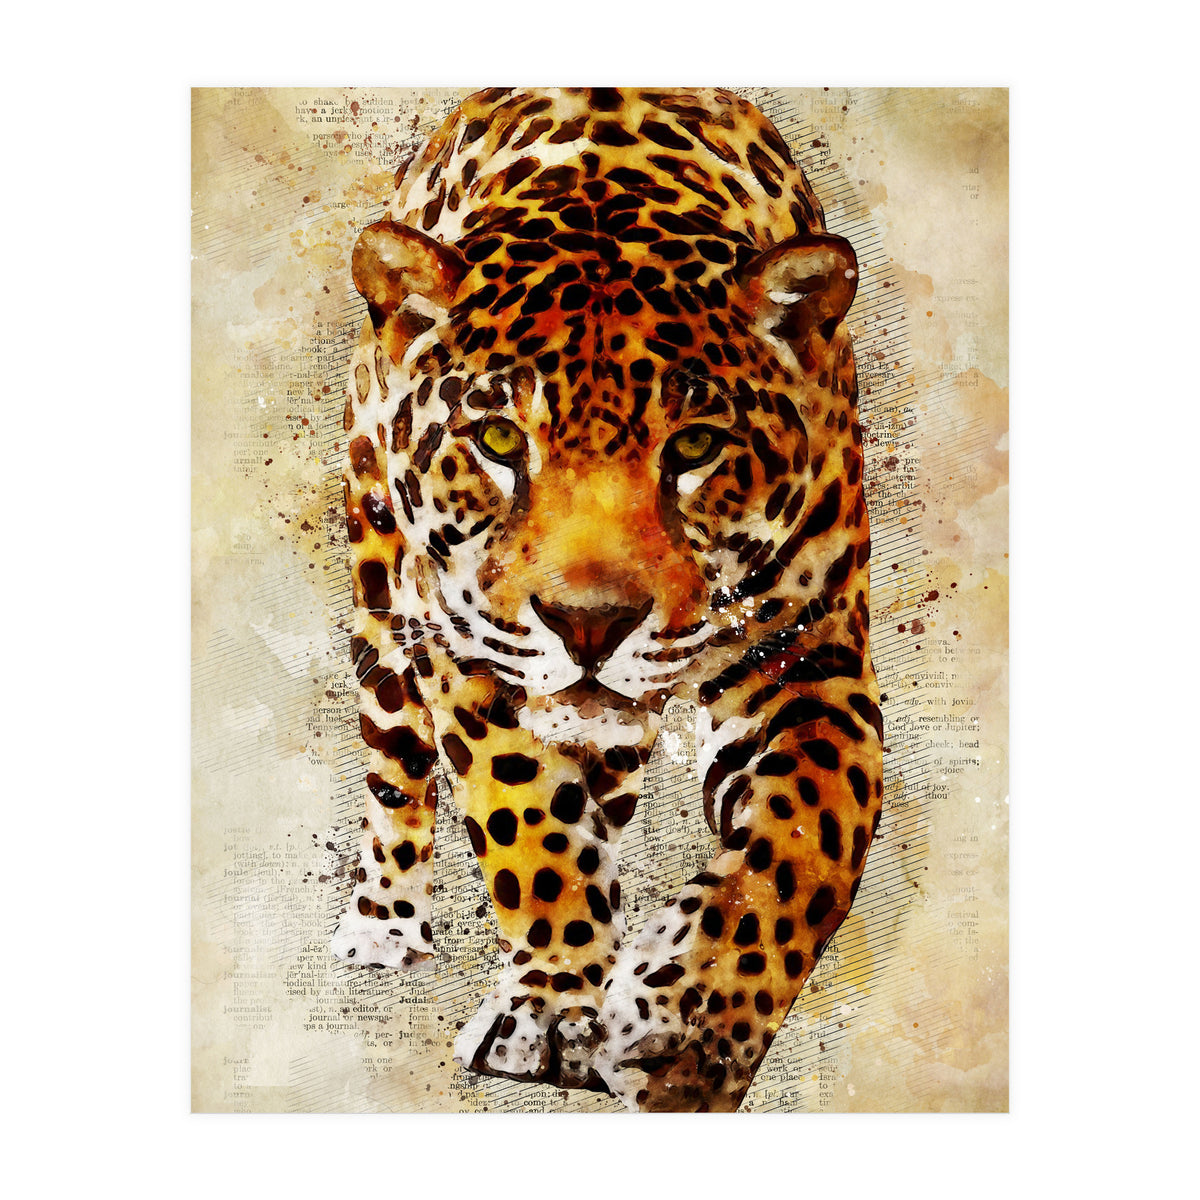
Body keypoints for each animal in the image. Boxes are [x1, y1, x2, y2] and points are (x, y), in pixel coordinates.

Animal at [331, 87, 883, 1113]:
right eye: (498, 440)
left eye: (697, 445)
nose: (590, 623)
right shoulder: (472, 653)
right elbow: (525, 817)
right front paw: (552, 1002)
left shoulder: (812, 666)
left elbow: (799, 850)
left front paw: (684, 1032)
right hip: (382, 593)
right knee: (394, 759)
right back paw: (385, 921)